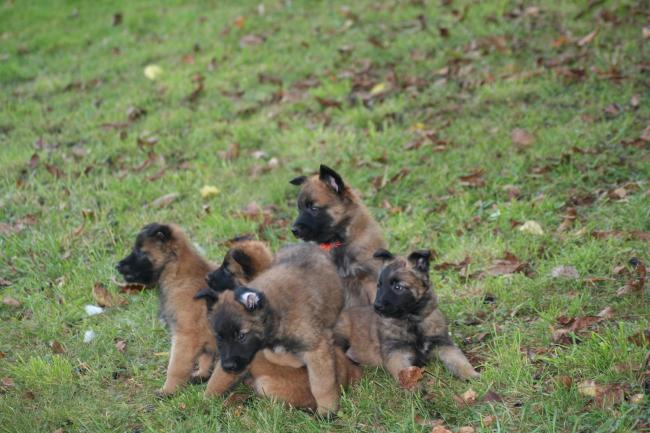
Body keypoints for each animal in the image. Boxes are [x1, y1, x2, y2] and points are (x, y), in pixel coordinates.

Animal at [116, 223, 215, 394]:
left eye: (141, 252)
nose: (118, 265)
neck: (178, 275)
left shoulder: (186, 337)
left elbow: (175, 367)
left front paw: (168, 390)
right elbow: (205, 356)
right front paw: (202, 374)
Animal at [336, 248, 478, 384]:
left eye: (398, 287)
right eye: (379, 285)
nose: (377, 306)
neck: (413, 319)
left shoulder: (443, 344)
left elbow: (459, 359)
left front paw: (471, 374)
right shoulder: (396, 352)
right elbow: (403, 373)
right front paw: (414, 388)